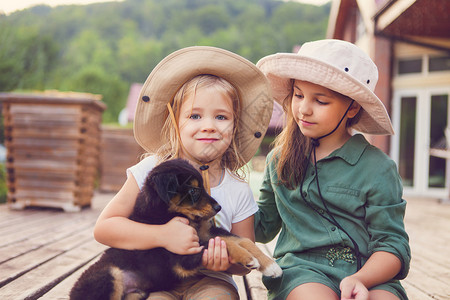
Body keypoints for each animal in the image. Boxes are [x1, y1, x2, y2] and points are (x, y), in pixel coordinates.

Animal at [70, 158, 282, 298]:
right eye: (193, 190)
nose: (218, 208)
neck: (169, 214)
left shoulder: (206, 232)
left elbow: (241, 239)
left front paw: (271, 266)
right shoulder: (182, 255)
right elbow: (225, 244)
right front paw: (249, 259)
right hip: (109, 275)